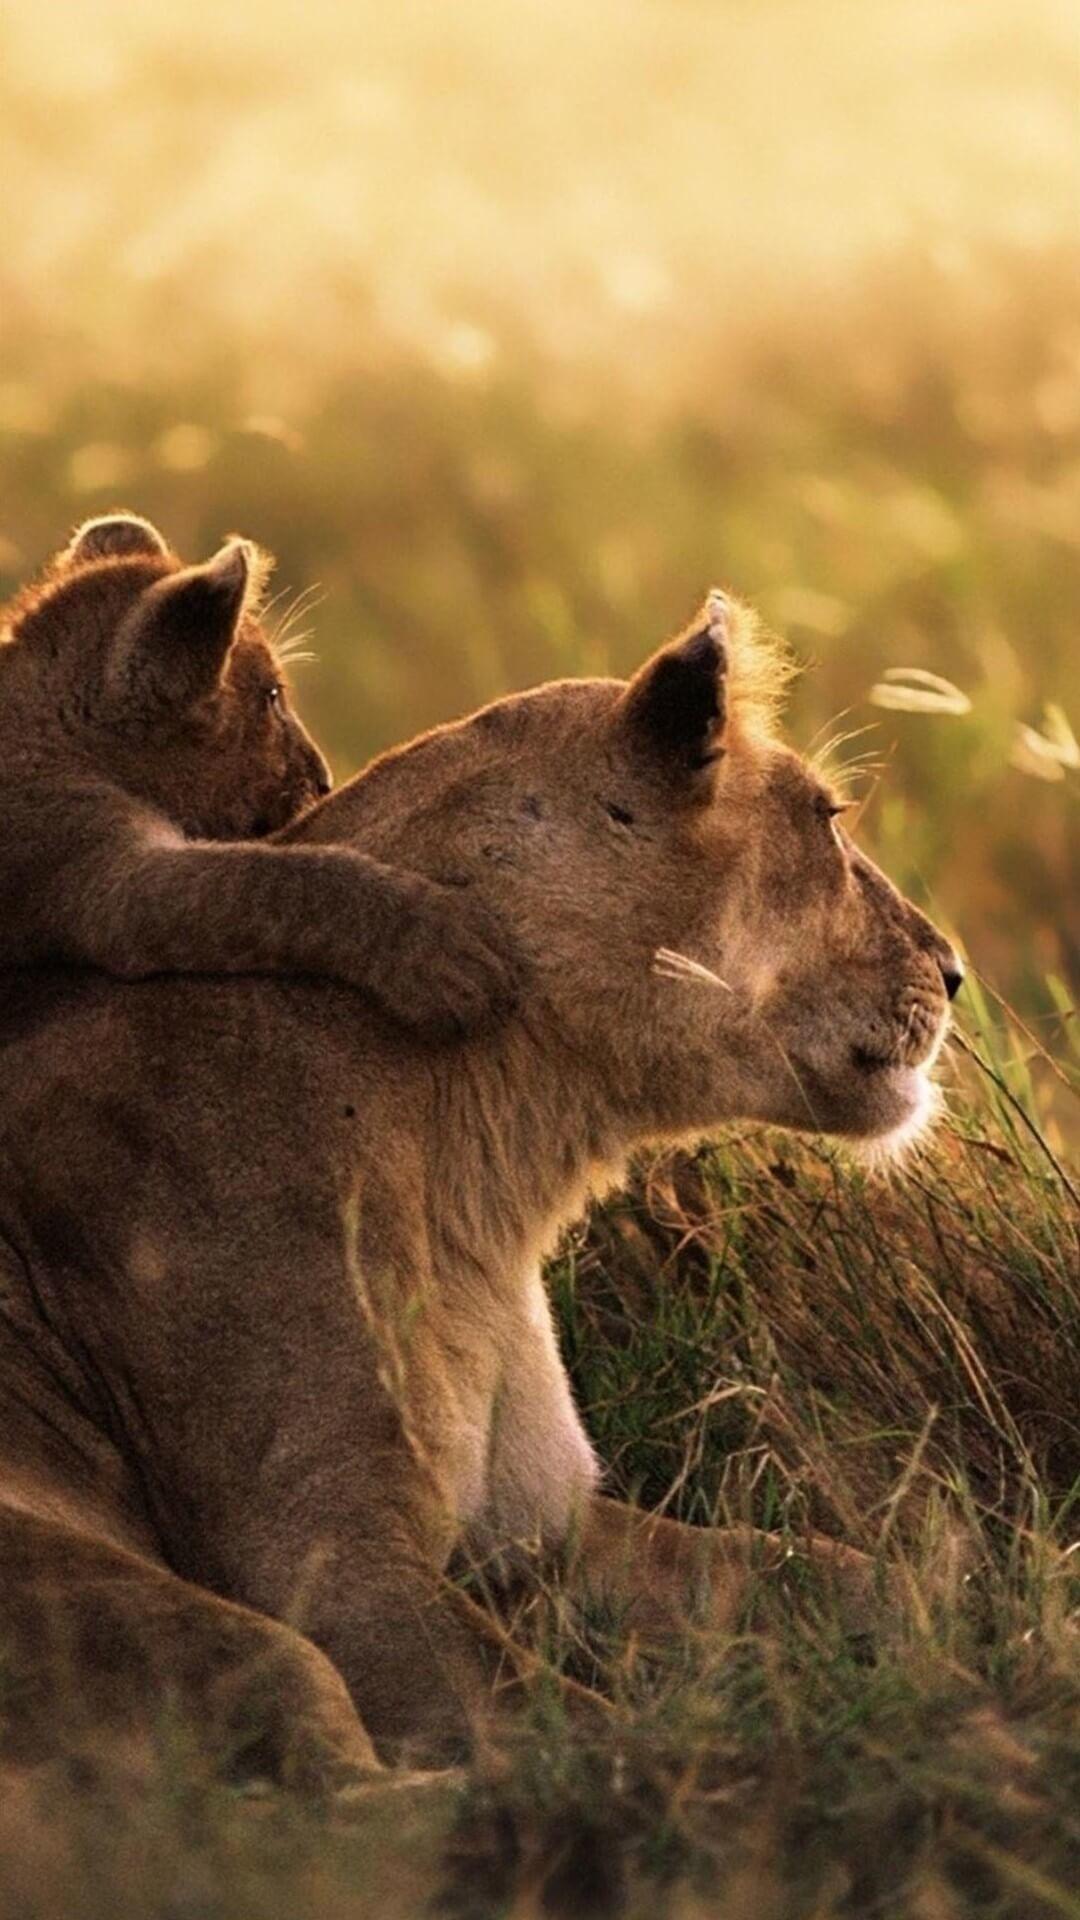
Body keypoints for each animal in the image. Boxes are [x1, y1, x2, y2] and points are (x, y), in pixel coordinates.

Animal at [0, 513, 518, 1036]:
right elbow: (270, 881)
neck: (63, 734)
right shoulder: (104, 881)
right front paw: (440, 948)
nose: (325, 778)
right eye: (271, 697)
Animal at [0, 589, 962, 1784]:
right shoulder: (332, 1567)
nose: (955, 969)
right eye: (828, 819)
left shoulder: (547, 1529)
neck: (491, 1163)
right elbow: (574, 1736)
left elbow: (824, 1567)